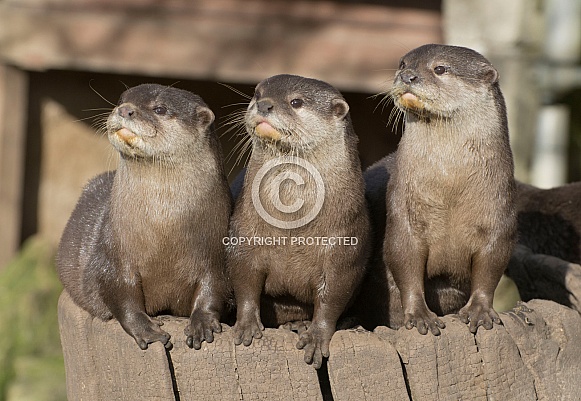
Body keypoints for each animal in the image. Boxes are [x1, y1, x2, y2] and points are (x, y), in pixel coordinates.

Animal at [56, 83, 232, 350]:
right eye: (122, 99)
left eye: (160, 108)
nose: (125, 110)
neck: (164, 223)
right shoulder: (113, 255)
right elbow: (119, 293)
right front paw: (147, 329)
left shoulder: (216, 256)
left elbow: (213, 290)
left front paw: (201, 323)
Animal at [224, 73, 370, 368]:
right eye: (258, 93)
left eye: (296, 102)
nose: (264, 104)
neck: (293, 228)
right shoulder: (244, 235)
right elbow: (245, 279)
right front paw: (246, 325)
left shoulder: (344, 251)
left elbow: (332, 296)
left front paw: (316, 336)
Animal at [380, 43, 516, 334]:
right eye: (403, 63)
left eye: (440, 68)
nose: (407, 76)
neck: (450, 185)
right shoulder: (403, 210)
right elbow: (402, 256)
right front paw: (419, 315)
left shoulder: (500, 210)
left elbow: (492, 262)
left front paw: (479, 311)